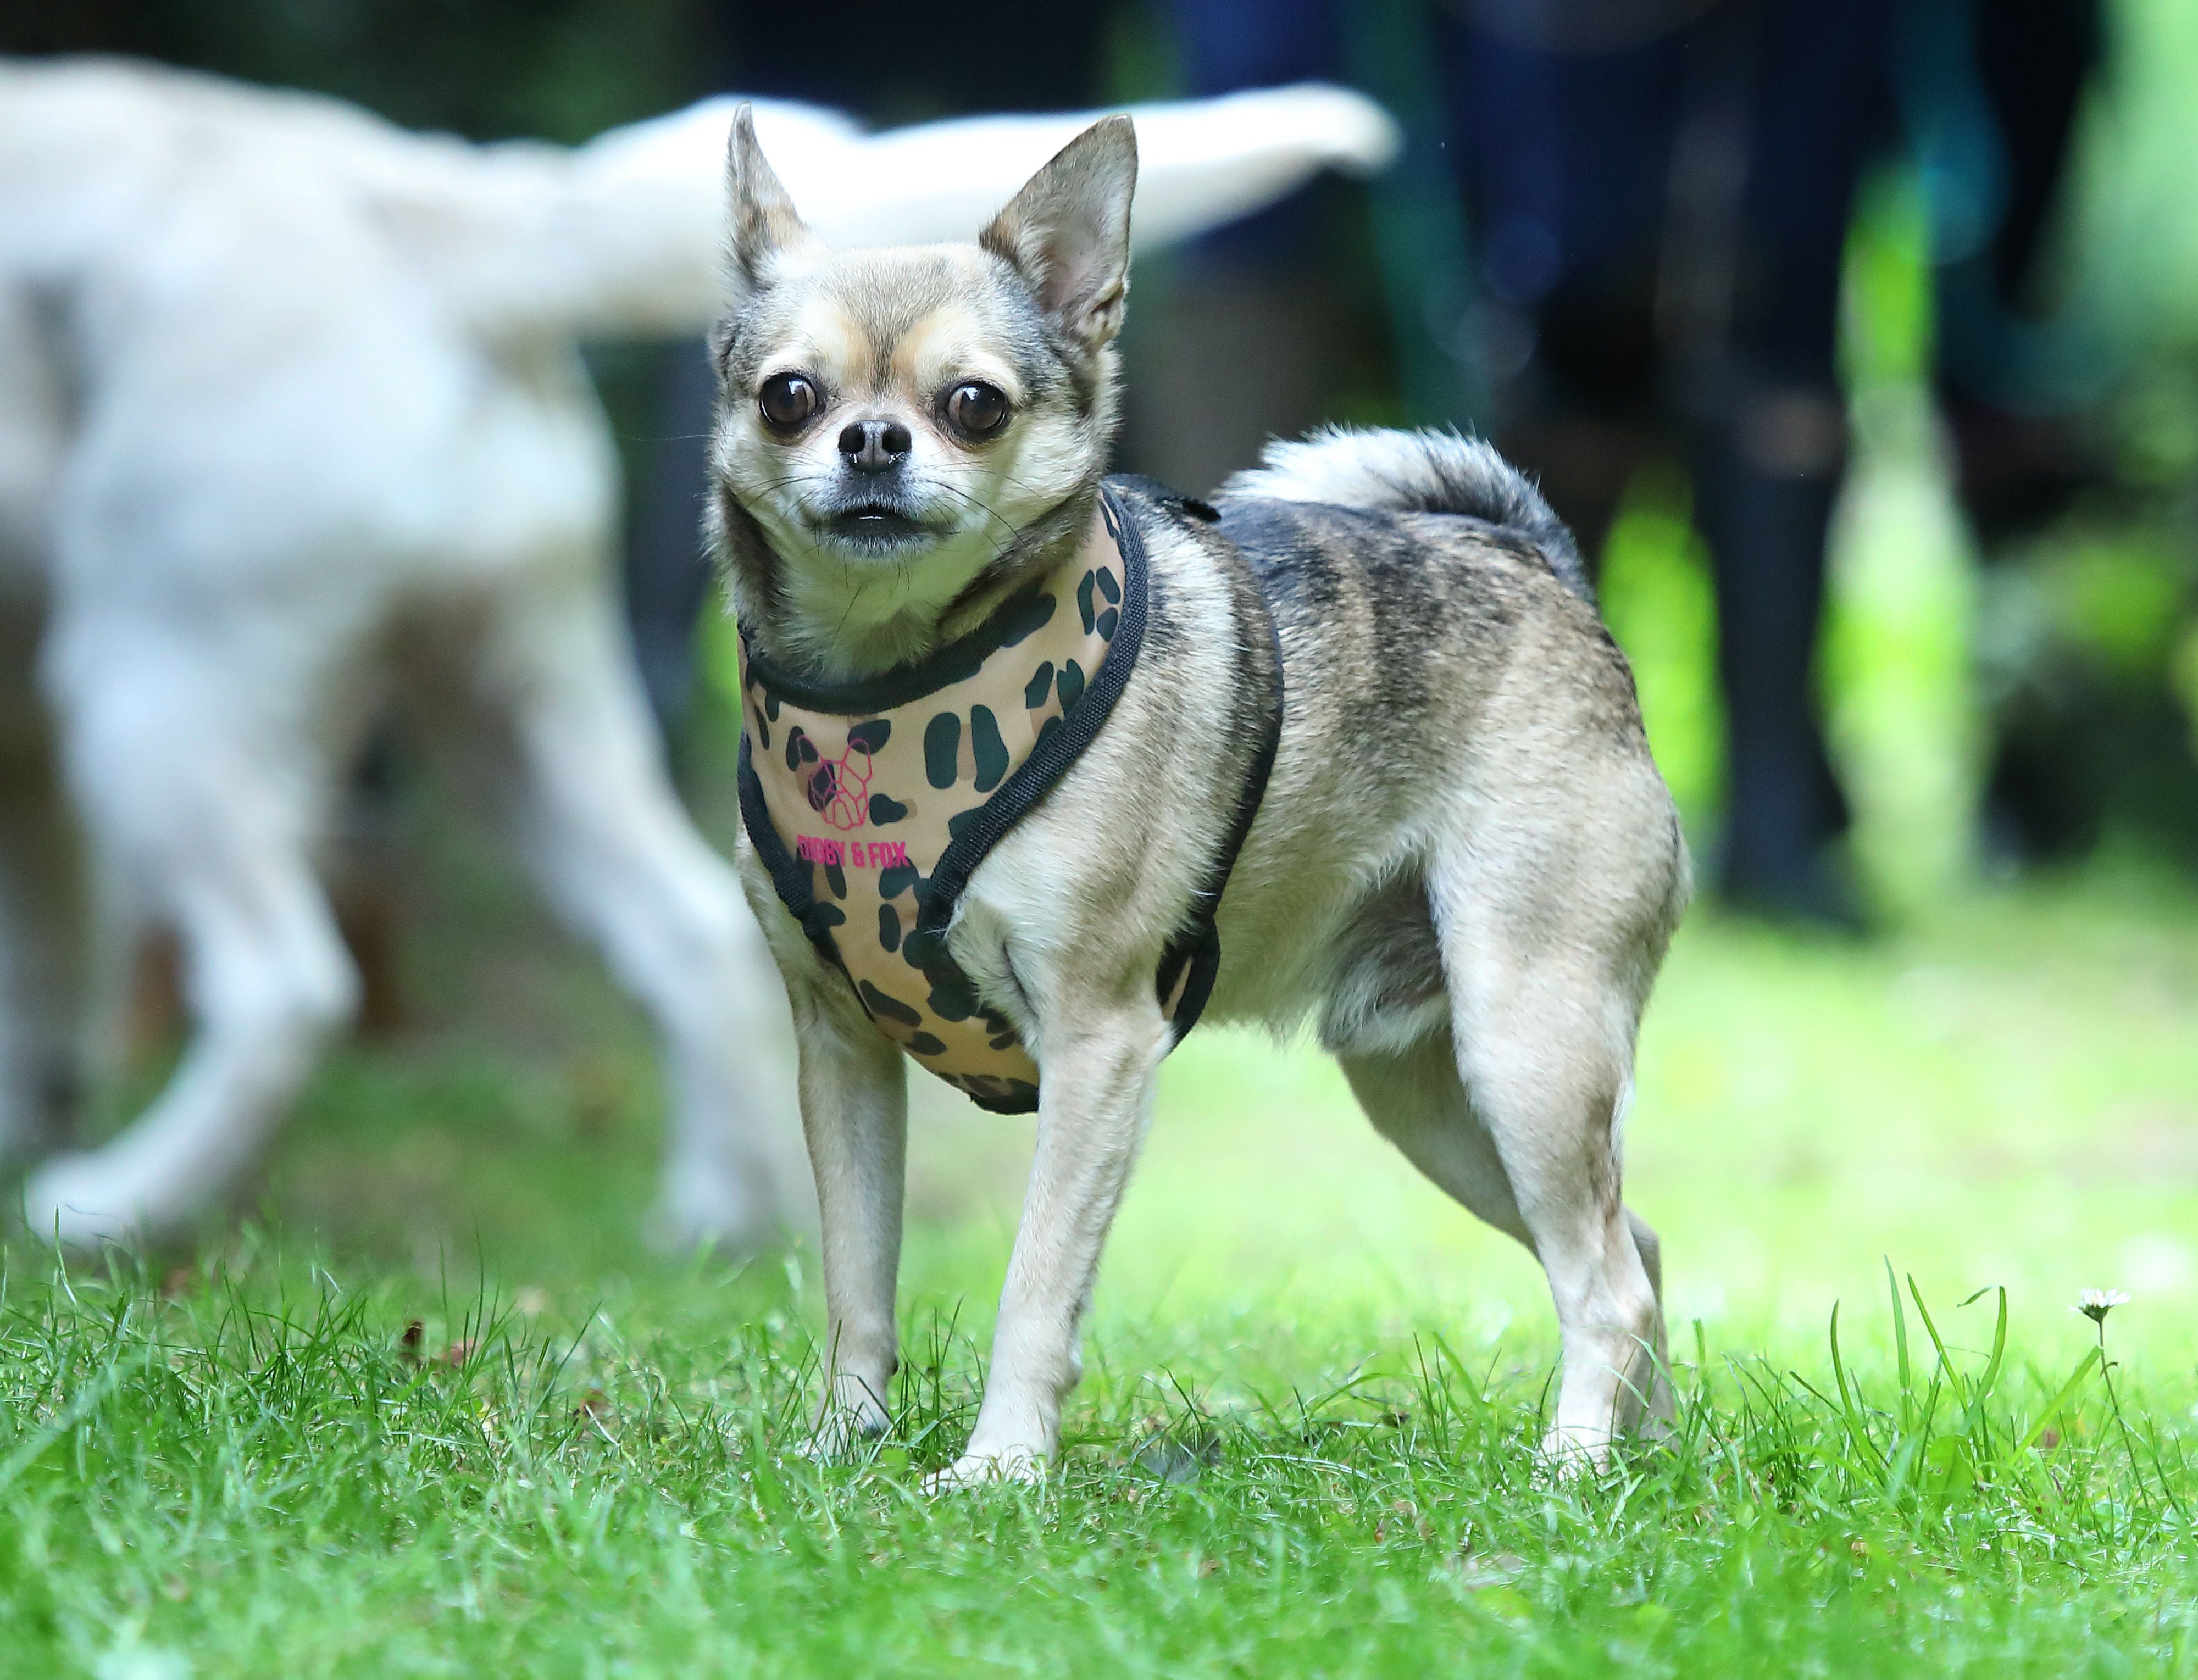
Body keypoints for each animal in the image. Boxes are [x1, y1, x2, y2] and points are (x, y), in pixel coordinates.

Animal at [0, 59, 1398, 1249]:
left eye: (973, 404)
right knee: (676, 933)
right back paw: (716, 1213)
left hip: (158, 687)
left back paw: (119, 1202)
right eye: (787, 396)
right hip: (497, 707)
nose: (872, 440)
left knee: (284, 981)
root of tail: (442, 213)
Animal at [712, 108, 1688, 1486]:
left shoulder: (1098, 1048)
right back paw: (1642, 1459)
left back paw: (1572, 1462)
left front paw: (999, 1467)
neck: (885, 682)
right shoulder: (842, 1051)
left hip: (1525, 1049)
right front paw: (840, 1447)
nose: (871, 440)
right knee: (1630, 1243)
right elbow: (858, 1275)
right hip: (1432, 1097)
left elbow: (1034, 1283)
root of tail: (1536, 562)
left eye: (972, 405)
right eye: (789, 397)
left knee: (1602, 1274)